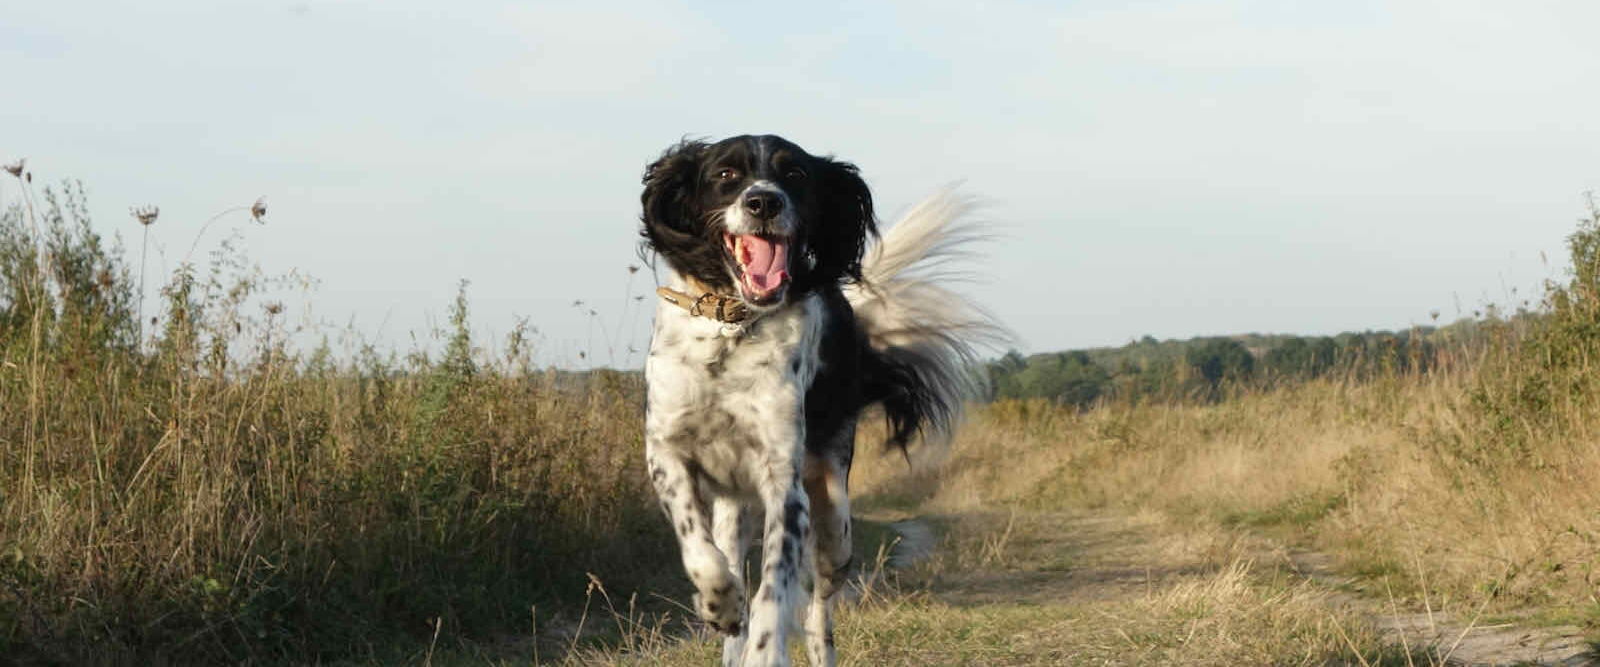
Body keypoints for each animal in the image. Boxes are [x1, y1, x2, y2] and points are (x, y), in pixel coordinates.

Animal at [640, 133, 998, 659]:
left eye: (795, 175)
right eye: (726, 174)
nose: (764, 201)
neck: (731, 329)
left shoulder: (785, 489)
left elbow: (774, 594)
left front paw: (766, 652)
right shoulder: (667, 451)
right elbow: (702, 552)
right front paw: (719, 603)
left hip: (834, 525)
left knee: (816, 609)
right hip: (736, 512)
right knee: (731, 566)